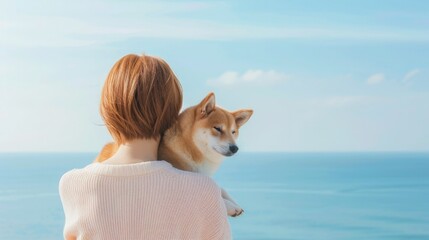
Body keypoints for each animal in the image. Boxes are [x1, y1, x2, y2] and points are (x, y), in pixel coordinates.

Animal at [95, 92, 252, 218]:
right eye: (218, 128)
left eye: (233, 132)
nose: (234, 148)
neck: (189, 147)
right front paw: (230, 206)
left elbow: (220, 188)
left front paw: (234, 203)